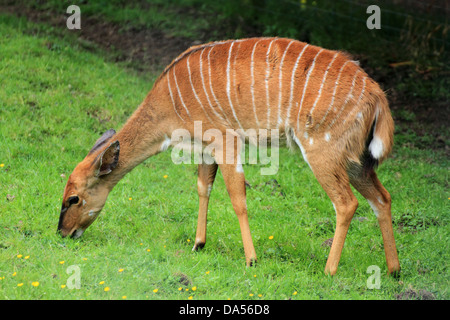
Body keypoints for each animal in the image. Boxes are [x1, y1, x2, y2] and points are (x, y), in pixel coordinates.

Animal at [58, 37, 400, 276]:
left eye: (73, 199)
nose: (63, 233)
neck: (168, 103)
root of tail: (376, 95)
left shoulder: (225, 140)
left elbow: (237, 197)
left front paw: (251, 259)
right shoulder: (207, 147)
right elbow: (203, 187)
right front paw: (198, 244)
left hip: (322, 151)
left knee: (347, 203)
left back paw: (329, 270)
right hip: (357, 161)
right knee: (381, 198)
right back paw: (394, 270)